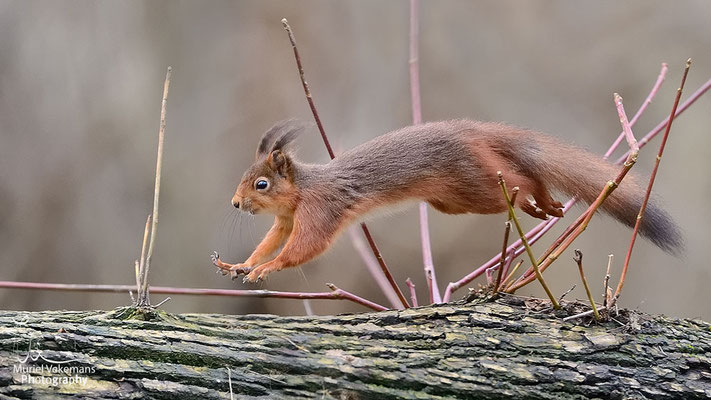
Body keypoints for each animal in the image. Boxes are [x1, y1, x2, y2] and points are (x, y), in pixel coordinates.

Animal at [213, 118, 684, 282]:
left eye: (261, 185)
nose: (234, 204)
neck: (303, 191)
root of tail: (473, 130)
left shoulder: (321, 211)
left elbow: (303, 249)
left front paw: (267, 269)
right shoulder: (286, 221)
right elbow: (271, 243)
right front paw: (243, 264)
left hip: (477, 184)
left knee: (521, 178)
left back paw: (537, 201)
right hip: (456, 198)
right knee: (524, 176)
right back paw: (544, 205)